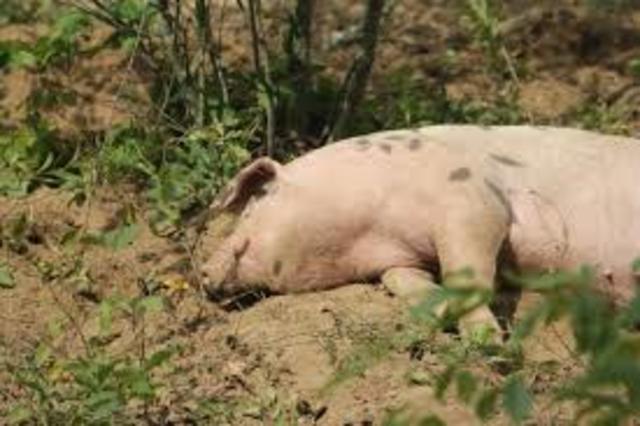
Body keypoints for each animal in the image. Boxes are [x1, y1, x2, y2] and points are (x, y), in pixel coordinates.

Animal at [200, 125, 640, 337]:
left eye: (251, 207)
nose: (202, 272)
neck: (371, 229)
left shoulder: (475, 200)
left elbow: (466, 268)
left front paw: (487, 342)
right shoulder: (401, 257)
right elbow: (401, 279)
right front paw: (440, 311)